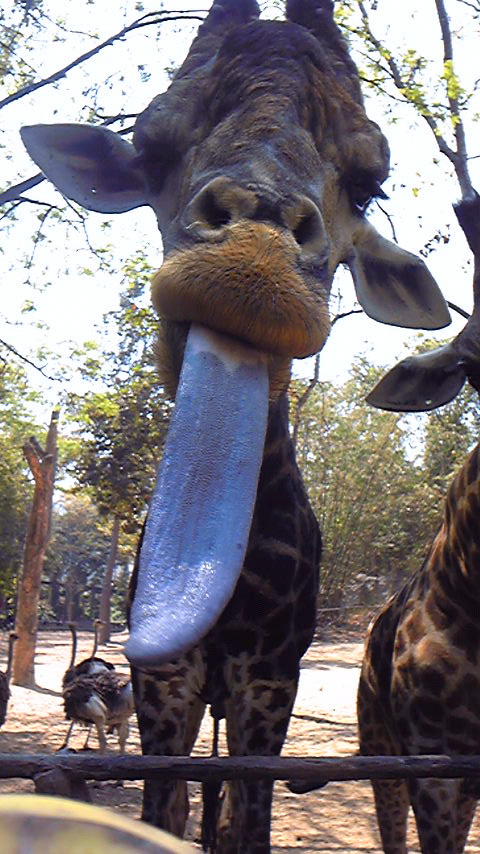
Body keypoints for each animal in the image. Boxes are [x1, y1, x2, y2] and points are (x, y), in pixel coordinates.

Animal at [20, 1, 451, 850]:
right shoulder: (165, 677)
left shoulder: (269, 677)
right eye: (151, 146)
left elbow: (246, 820)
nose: (252, 265)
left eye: (370, 182)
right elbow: (168, 806)